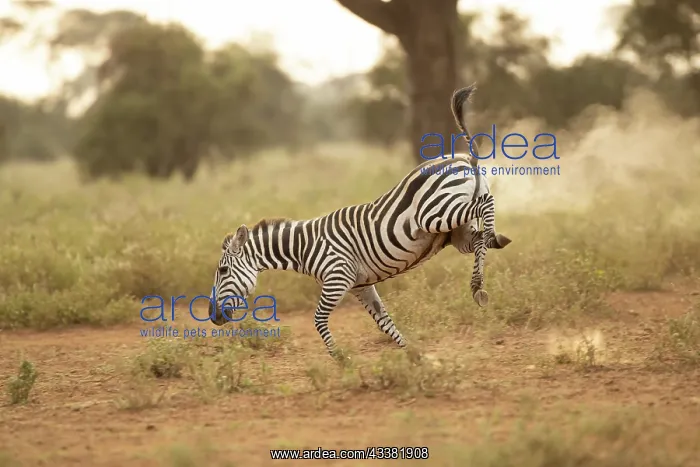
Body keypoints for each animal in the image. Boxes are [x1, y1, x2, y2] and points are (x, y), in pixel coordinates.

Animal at [208, 84, 512, 358]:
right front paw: (414, 356)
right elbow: (384, 321)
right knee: (478, 240)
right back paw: (479, 283)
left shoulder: (337, 279)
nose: (213, 317)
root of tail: (464, 157)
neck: (304, 247)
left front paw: (341, 360)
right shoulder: (361, 286)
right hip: (456, 233)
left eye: (222, 271)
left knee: (487, 205)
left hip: (435, 215)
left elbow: (318, 320)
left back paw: (493, 241)